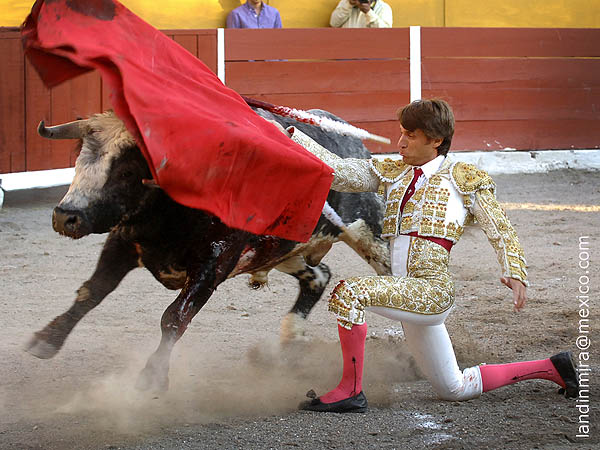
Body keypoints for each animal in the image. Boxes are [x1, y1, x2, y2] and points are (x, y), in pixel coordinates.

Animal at [27, 108, 390, 390]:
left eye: (127, 170)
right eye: (79, 160)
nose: (65, 217)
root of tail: (356, 145)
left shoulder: (214, 262)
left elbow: (174, 316)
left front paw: (152, 378)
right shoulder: (123, 242)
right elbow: (91, 292)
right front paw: (46, 340)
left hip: (370, 231)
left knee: (386, 273)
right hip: (283, 250)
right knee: (319, 276)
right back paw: (291, 340)